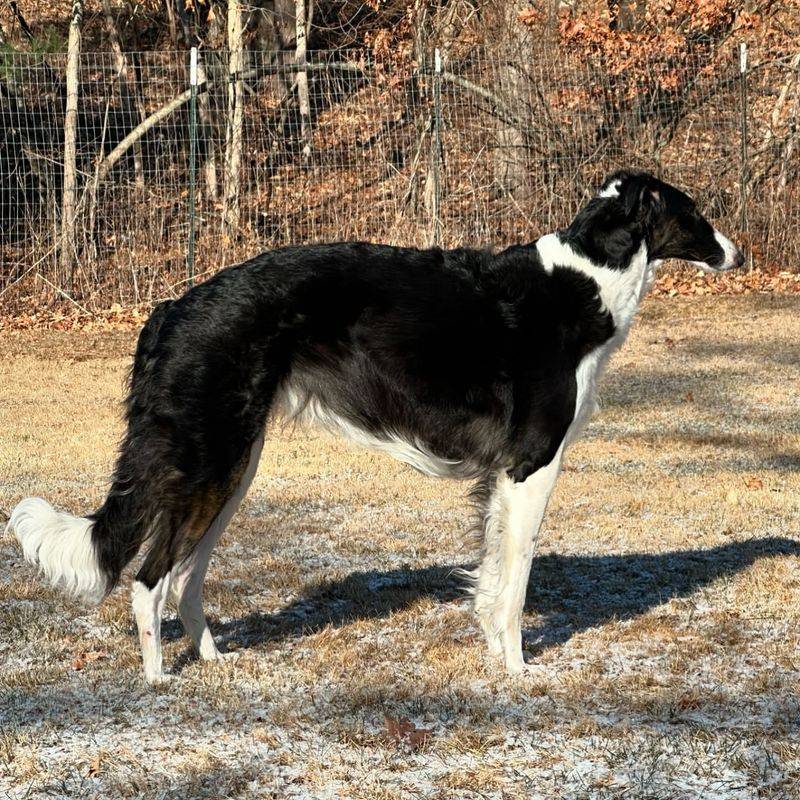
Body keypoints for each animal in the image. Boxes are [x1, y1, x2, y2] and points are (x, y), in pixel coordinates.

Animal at [6, 169, 744, 680]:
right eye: (694, 212)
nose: (738, 254)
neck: (584, 280)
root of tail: (173, 307)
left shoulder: (501, 479)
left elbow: (491, 575)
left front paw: (492, 651)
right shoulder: (532, 463)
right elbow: (515, 579)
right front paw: (517, 669)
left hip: (235, 466)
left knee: (185, 579)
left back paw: (213, 660)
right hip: (209, 463)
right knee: (148, 580)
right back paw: (159, 678)